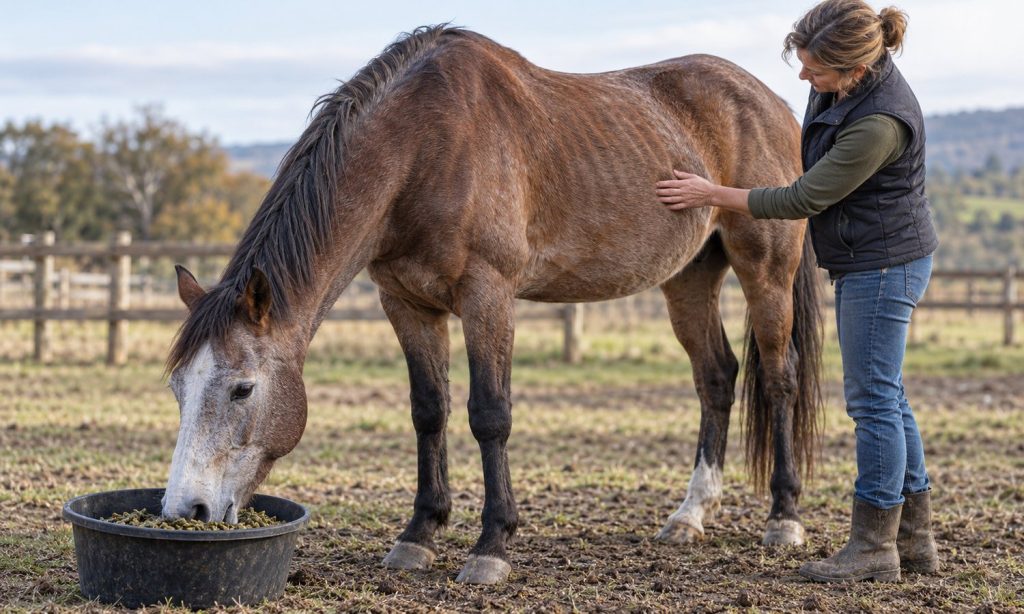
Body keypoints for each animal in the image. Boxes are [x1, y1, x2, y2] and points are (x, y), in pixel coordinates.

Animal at [162, 25, 823, 585]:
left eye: (242, 389)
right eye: (177, 388)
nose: (185, 509)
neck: (423, 148)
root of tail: (770, 102)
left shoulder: (488, 295)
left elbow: (489, 414)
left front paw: (491, 547)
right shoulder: (406, 303)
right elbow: (429, 411)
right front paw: (418, 535)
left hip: (766, 270)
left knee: (779, 380)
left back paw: (784, 519)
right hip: (688, 278)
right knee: (716, 378)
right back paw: (690, 515)